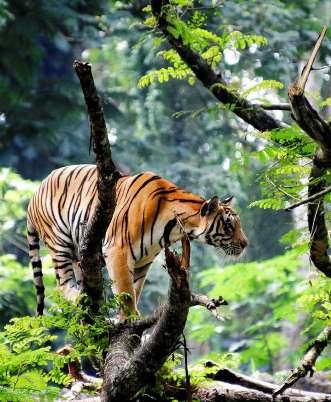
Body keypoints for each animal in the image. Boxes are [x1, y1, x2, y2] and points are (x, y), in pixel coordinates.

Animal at [27, 165, 248, 318]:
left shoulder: (143, 260)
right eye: (229, 225)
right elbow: (125, 290)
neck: (175, 228)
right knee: (61, 285)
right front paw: (130, 318)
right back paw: (81, 298)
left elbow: (135, 288)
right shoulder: (118, 250)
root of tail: (34, 193)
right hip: (59, 243)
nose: (246, 244)